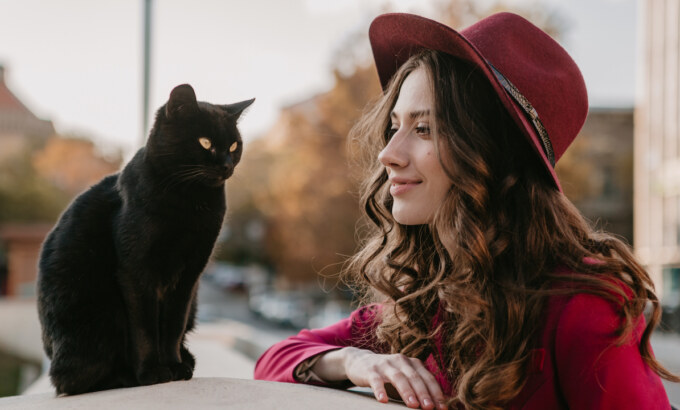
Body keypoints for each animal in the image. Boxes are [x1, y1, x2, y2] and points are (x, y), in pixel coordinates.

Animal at [35, 83, 252, 394]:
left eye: (234, 146)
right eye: (205, 142)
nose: (226, 165)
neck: (190, 202)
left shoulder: (190, 275)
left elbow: (172, 325)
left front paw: (173, 366)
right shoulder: (136, 271)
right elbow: (145, 328)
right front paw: (152, 373)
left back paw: (185, 361)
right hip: (102, 315)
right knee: (72, 380)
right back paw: (126, 376)